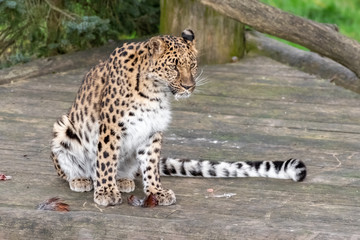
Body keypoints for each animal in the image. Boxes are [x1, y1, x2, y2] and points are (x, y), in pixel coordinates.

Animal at [50, 29, 306, 206]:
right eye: (173, 67)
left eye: (192, 65)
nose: (189, 86)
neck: (154, 91)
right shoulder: (111, 128)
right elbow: (106, 160)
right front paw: (105, 192)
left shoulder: (151, 130)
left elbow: (151, 165)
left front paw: (156, 192)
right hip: (63, 127)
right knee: (72, 169)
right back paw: (81, 179)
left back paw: (123, 181)